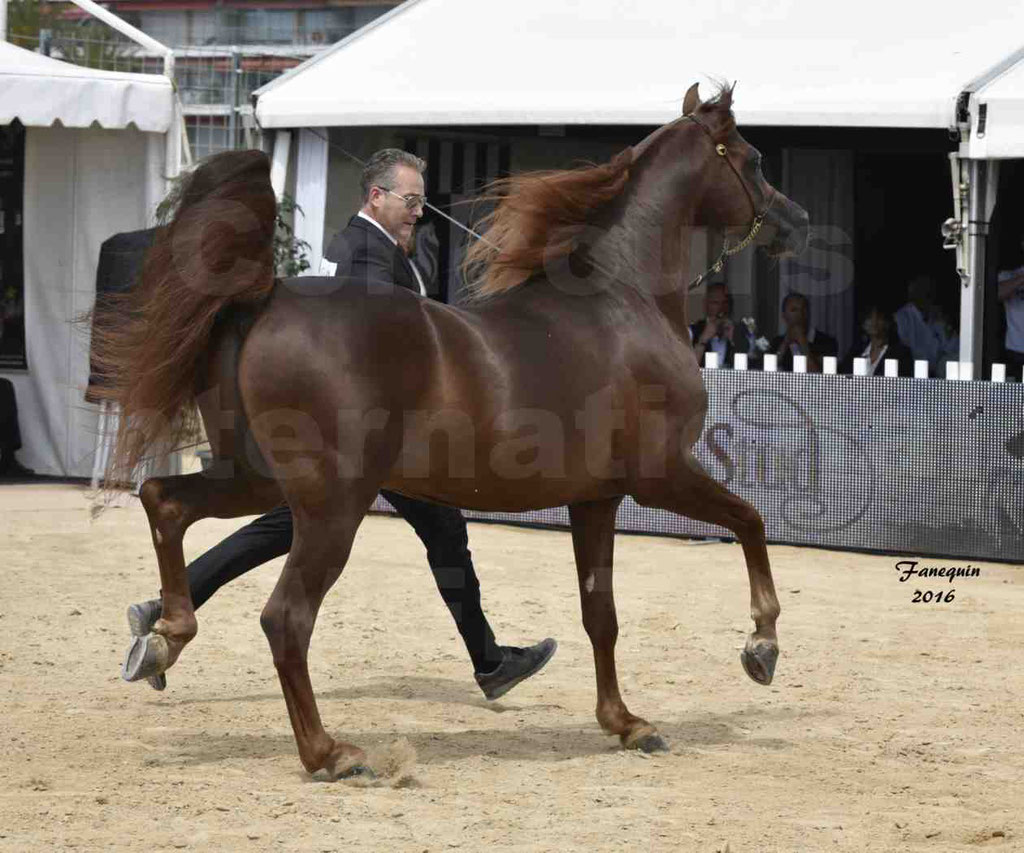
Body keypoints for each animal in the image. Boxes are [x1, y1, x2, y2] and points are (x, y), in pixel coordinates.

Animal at [94, 82, 806, 774]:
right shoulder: (661, 476)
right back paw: (331, 754)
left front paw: (627, 724)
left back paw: (163, 637)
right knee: (286, 618)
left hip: (258, 479)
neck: (620, 301)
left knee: (164, 500)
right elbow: (751, 521)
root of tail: (264, 299)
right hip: (332, 505)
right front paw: (761, 647)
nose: (794, 221)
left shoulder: (596, 499)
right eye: (754, 159)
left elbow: (599, 614)